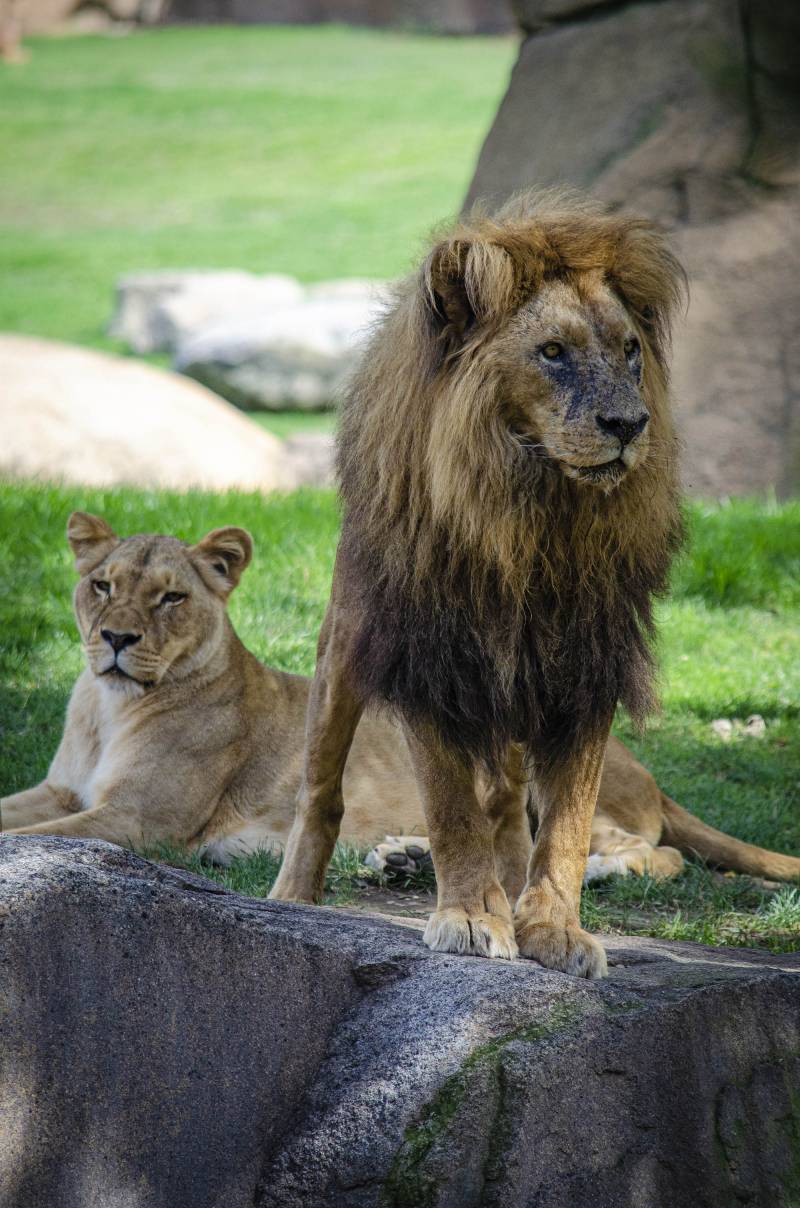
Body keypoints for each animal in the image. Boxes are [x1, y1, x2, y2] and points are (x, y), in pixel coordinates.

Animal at [6, 514, 800, 903]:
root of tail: (653, 776)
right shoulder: (62, 790)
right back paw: (404, 862)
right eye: (103, 585)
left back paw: (596, 875)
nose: (115, 639)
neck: (106, 708)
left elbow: (31, 835)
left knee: (656, 855)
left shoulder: (140, 821)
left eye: (171, 597)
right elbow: (18, 811)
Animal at [270, 190, 691, 980]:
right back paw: (295, 897)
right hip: (344, 646)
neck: (532, 516)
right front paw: (469, 918)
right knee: (321, 788)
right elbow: (450, 808)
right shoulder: (426, 656)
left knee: (510, 803)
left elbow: (566, 822)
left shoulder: (585, 665)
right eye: (552, 352)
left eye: (629, 350)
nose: (628, 423)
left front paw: (553, 927)